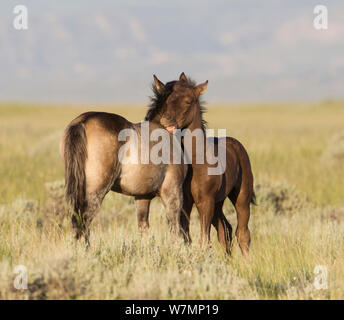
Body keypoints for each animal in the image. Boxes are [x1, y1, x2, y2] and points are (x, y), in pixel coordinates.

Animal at [60, 107, 187, 242]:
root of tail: (83, 121)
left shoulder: (142, 196)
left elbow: (143, 228)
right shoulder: (173, 193)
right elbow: (175, 229)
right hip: (95, 192)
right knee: (83, 222)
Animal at [144, 73, 254, 258]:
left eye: (188, 101)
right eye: (165, 100)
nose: (166, 121)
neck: (195, 163)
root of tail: (237, 146)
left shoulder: (205, 201)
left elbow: (204, 240)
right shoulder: (185, 203)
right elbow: (187, 238)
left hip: (241, 197)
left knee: (243, 233)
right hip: (219, 203)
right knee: (225, 230)